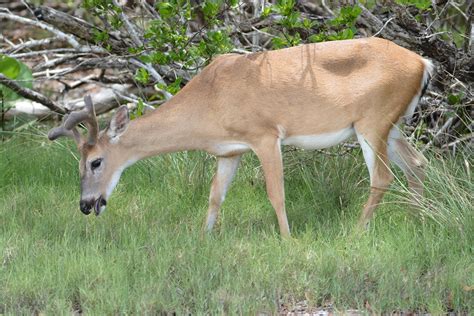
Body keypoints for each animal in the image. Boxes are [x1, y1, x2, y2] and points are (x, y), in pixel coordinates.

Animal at [49, 37, 434, 237]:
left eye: (95, 162)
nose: (86, 204)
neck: (209, 101)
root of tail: (424, 63)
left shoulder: (264, 134)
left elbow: (276, 194)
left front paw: (287, 239)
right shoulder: (228, 151)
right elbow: (215, 196)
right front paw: (203, 237)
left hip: (372, 120)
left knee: (383, 176)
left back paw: (356, 231)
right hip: (392, 125)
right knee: (417, 163)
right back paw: (416, 221)